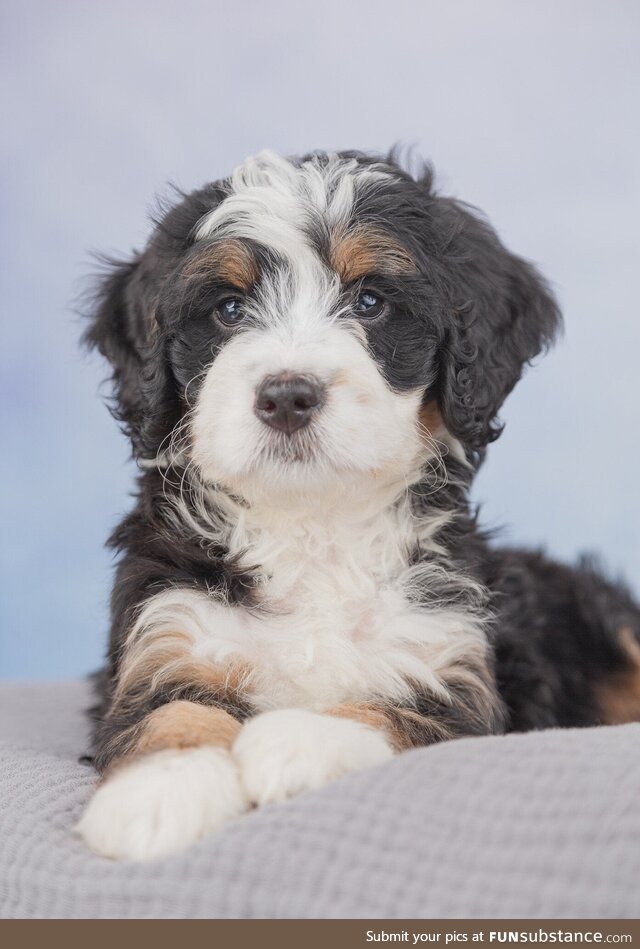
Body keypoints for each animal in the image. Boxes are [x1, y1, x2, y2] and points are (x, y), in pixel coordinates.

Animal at [76, 146, 640, 860]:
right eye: (229, 309)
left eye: (370, 301)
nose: (288, 395)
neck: (315, 523)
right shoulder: (167, 632)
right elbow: (167, 712)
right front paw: (161, 790)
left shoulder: (457, 673)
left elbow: (395, 709)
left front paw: (301, 739)